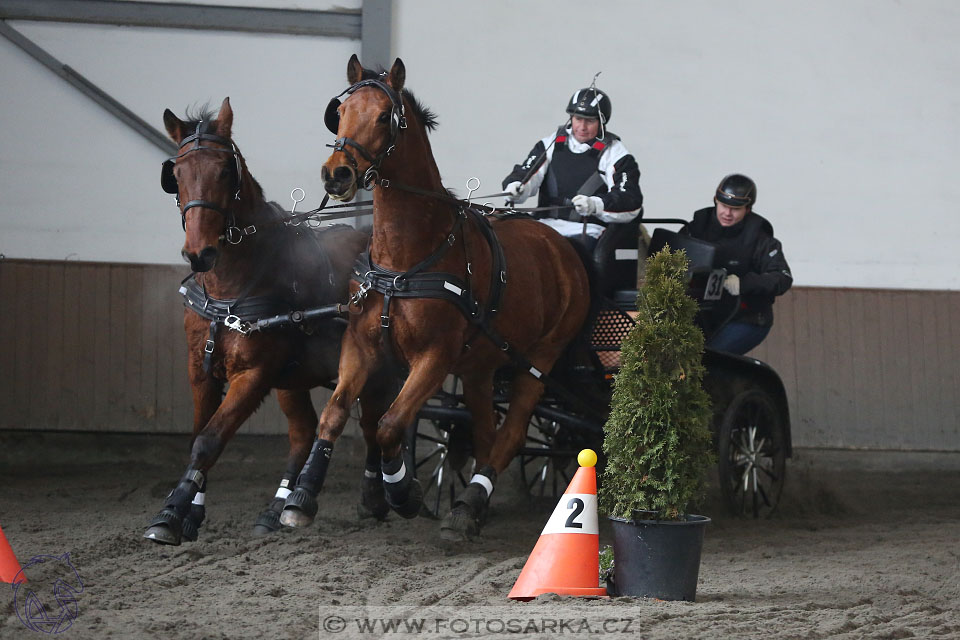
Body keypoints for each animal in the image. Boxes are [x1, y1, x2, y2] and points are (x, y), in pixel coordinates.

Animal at [144, 99, 370, 544]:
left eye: (224, 171)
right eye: (175, 175)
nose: (199, 253)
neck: (229, 287)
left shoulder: (254, 372)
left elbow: (210, 439)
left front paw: (172, 512)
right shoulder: (200, 369)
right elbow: (199, 434)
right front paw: (190, 511)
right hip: (294, 377)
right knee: (303, 432)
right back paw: (276, 508)